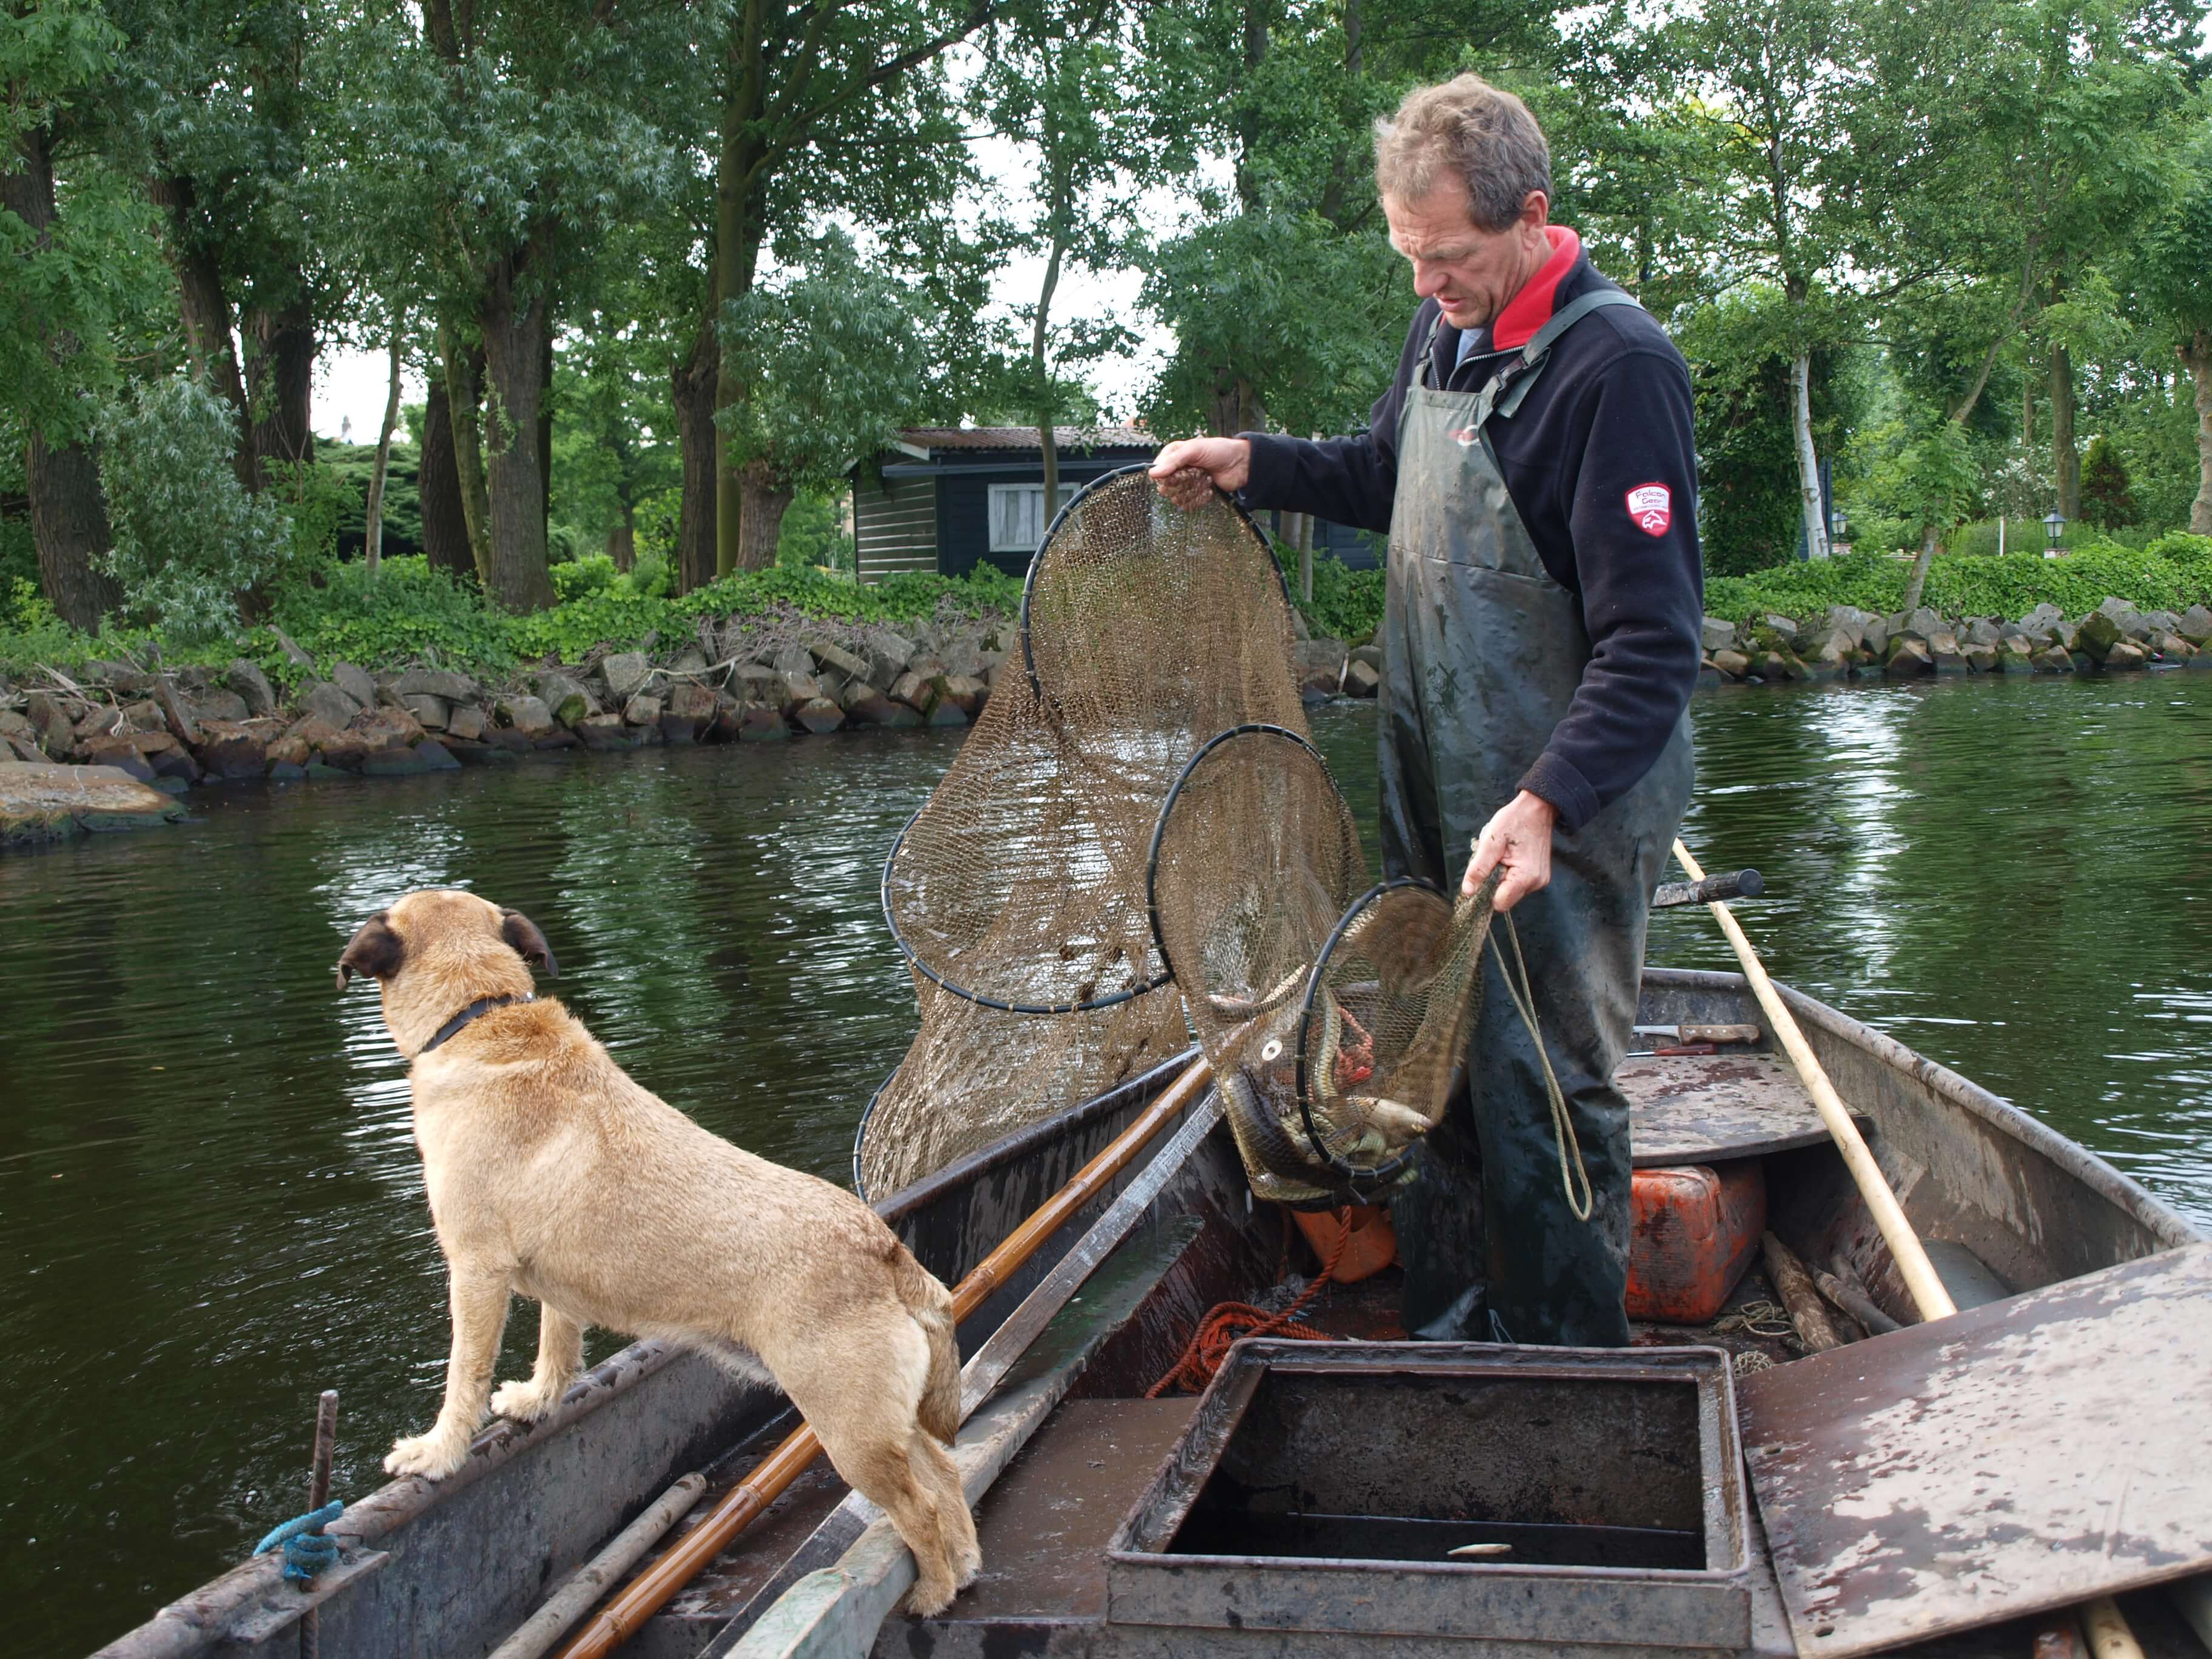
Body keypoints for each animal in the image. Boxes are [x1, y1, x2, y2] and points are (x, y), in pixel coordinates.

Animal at [333, 898, 977, 1610]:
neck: (482, 1014)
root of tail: (888, 1253)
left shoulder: (474, 1268)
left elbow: (463, 1376)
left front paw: (438, 1452)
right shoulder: (557, 1284)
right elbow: (558, 1345)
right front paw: (538, 1399)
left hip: (849, 1432)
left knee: (919, 1508)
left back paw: (932, 1593)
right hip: (886, 1421)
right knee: (946, 1476)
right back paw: (965, 1565)